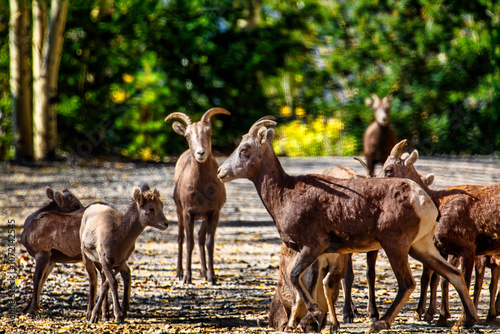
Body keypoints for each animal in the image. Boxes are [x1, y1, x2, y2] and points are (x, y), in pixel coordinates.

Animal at [20, 188, 83, 316]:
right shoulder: (51, 259)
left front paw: (31, 309)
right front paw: (31, 307)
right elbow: (42, 279)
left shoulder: (43, 252)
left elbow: (37, 278)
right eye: (75, 205)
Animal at [80, 184, 168, 322]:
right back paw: (89, 314)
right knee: (92, 278)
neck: (119, 236)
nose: (166, 223)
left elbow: (107, 284)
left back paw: (106, 314)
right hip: (86, 256)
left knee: (110, 277)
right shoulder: (105, 259)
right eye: (151, 208)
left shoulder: (120, 261)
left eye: (162, 205)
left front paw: (116, 314)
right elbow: (112, 283)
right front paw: (116, 316)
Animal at [165, 107, 229, 284]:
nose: (201, 153)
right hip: (179, 212)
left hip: (204, 218)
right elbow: (189, 242)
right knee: (180, 238)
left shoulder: (213, 213)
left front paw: (212, 277)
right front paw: (187, 278)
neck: (202, 188)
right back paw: (179, 273)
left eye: (210, 132)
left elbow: (208, 242)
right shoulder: (188, 213)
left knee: (200, 239)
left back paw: (204, 273)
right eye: (187, 135)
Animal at [218, 117, 476, 332]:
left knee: (407, 284)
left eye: (244, 149)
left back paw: (379, 323)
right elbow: (311, 282)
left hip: (396, 246)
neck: (285, 194)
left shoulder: (312, 246)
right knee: (453, 274)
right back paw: (468, 321)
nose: (221, 172)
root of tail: (423, 199)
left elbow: (295, 276)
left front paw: (316, 314)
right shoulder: (319, 254)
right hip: (420, 247)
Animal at [378, 140, 500, 324]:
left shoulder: (467, 246)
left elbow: (465, 281)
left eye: (389, 169)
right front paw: (440, 316)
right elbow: (443, 278)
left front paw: (462, 321)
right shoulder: (447, 249)